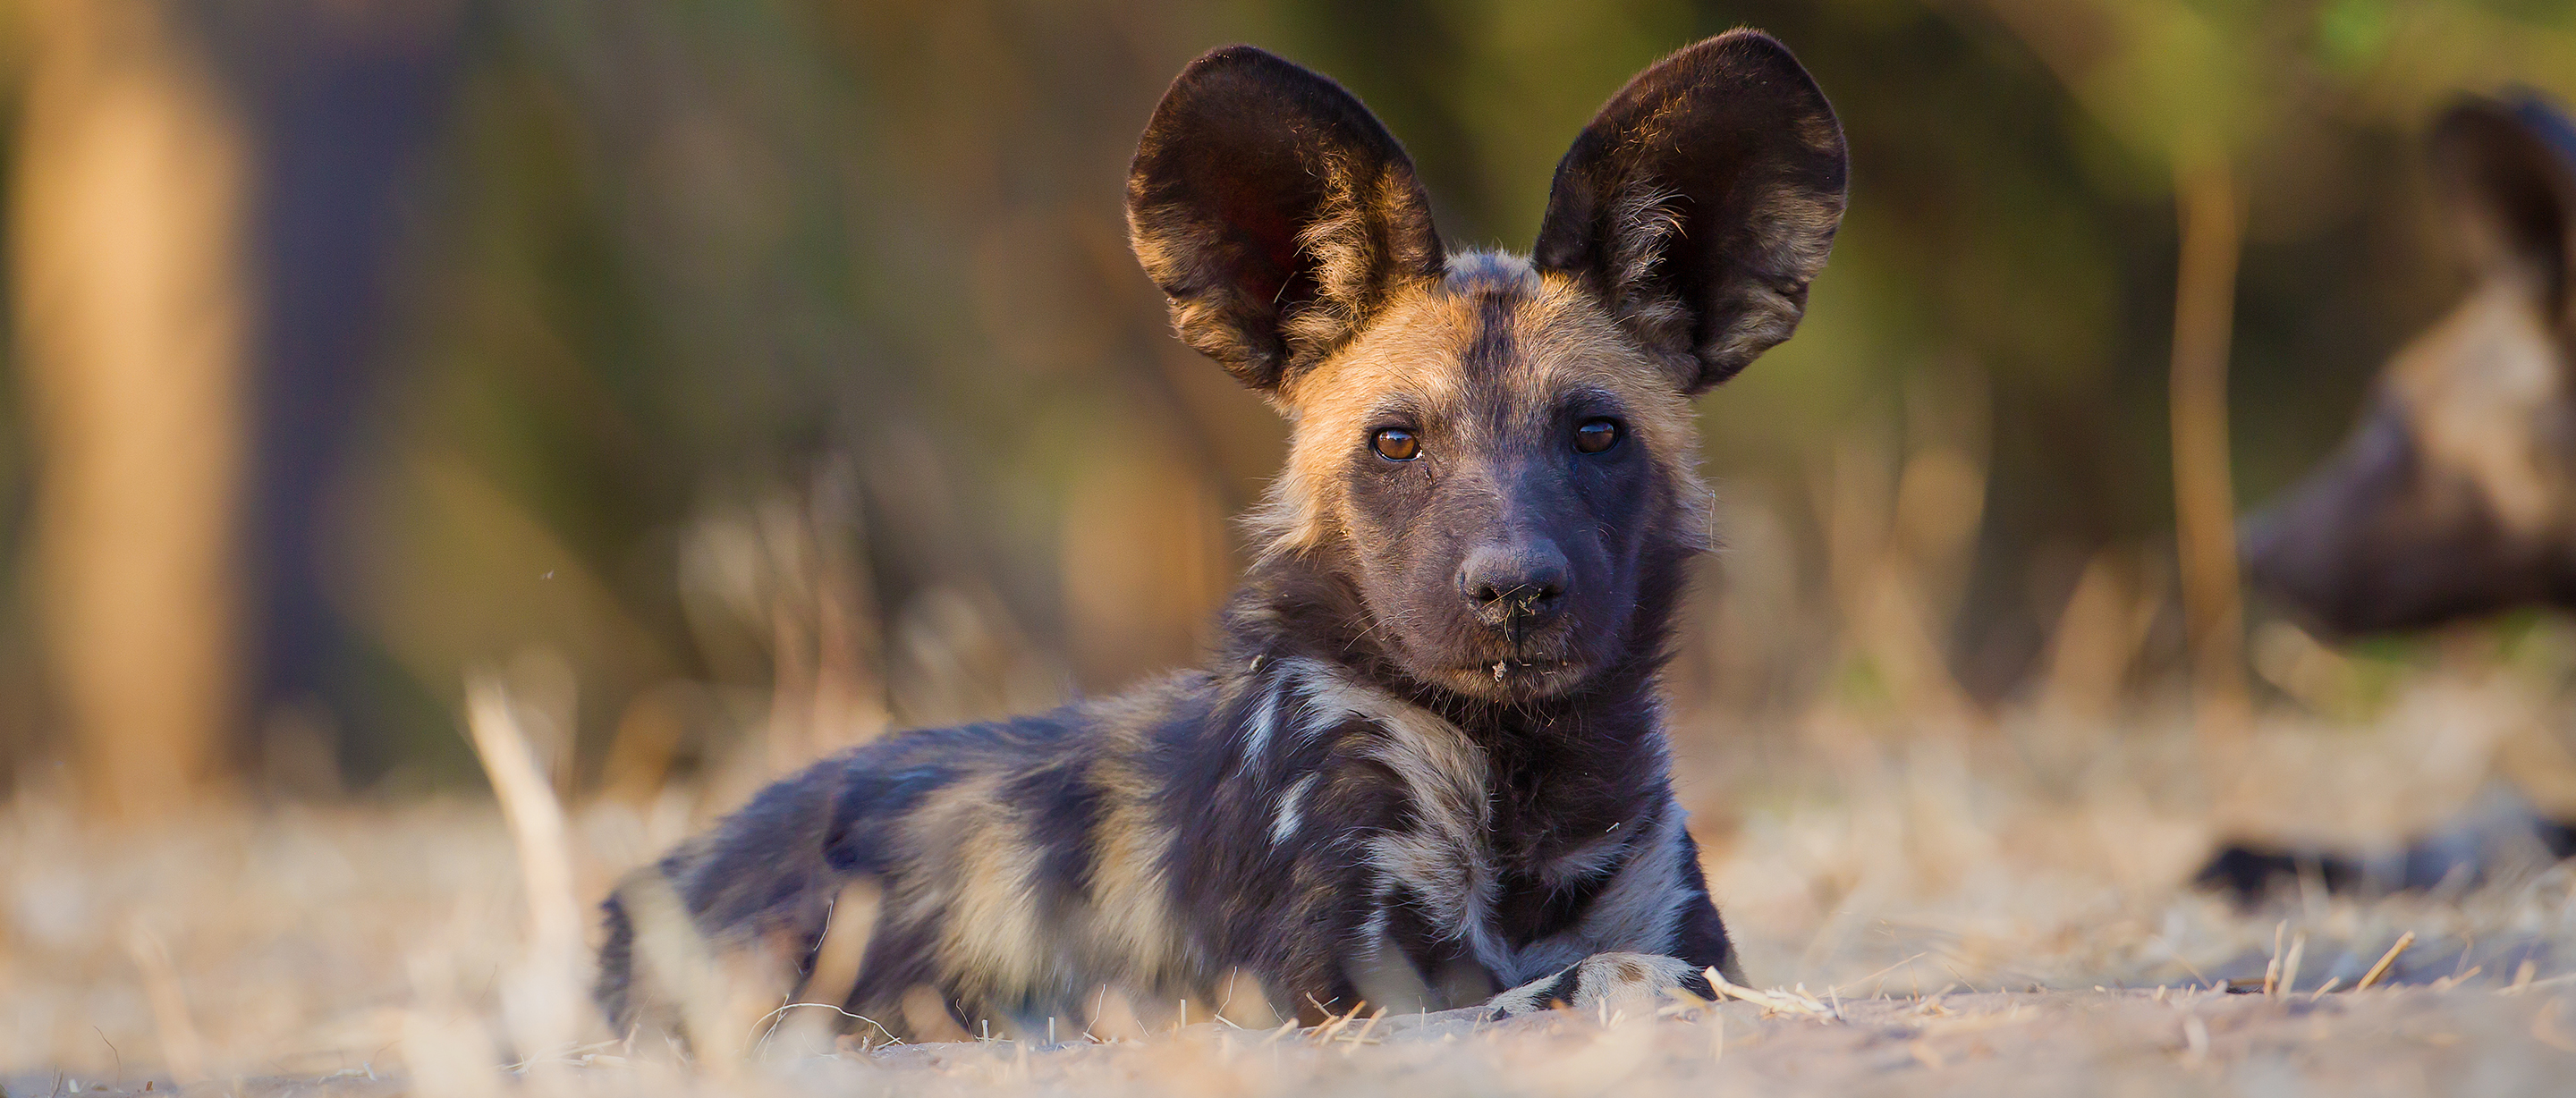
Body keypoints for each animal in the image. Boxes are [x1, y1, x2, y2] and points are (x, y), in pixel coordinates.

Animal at [597, 30, 1854, 1041]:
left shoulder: (1679, 930)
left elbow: (1648, 963)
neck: (1517, 776)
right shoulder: (1330, 997)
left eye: (1596, 432)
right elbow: (1591, 979)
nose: (1514, 590)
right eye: (1397, 441)